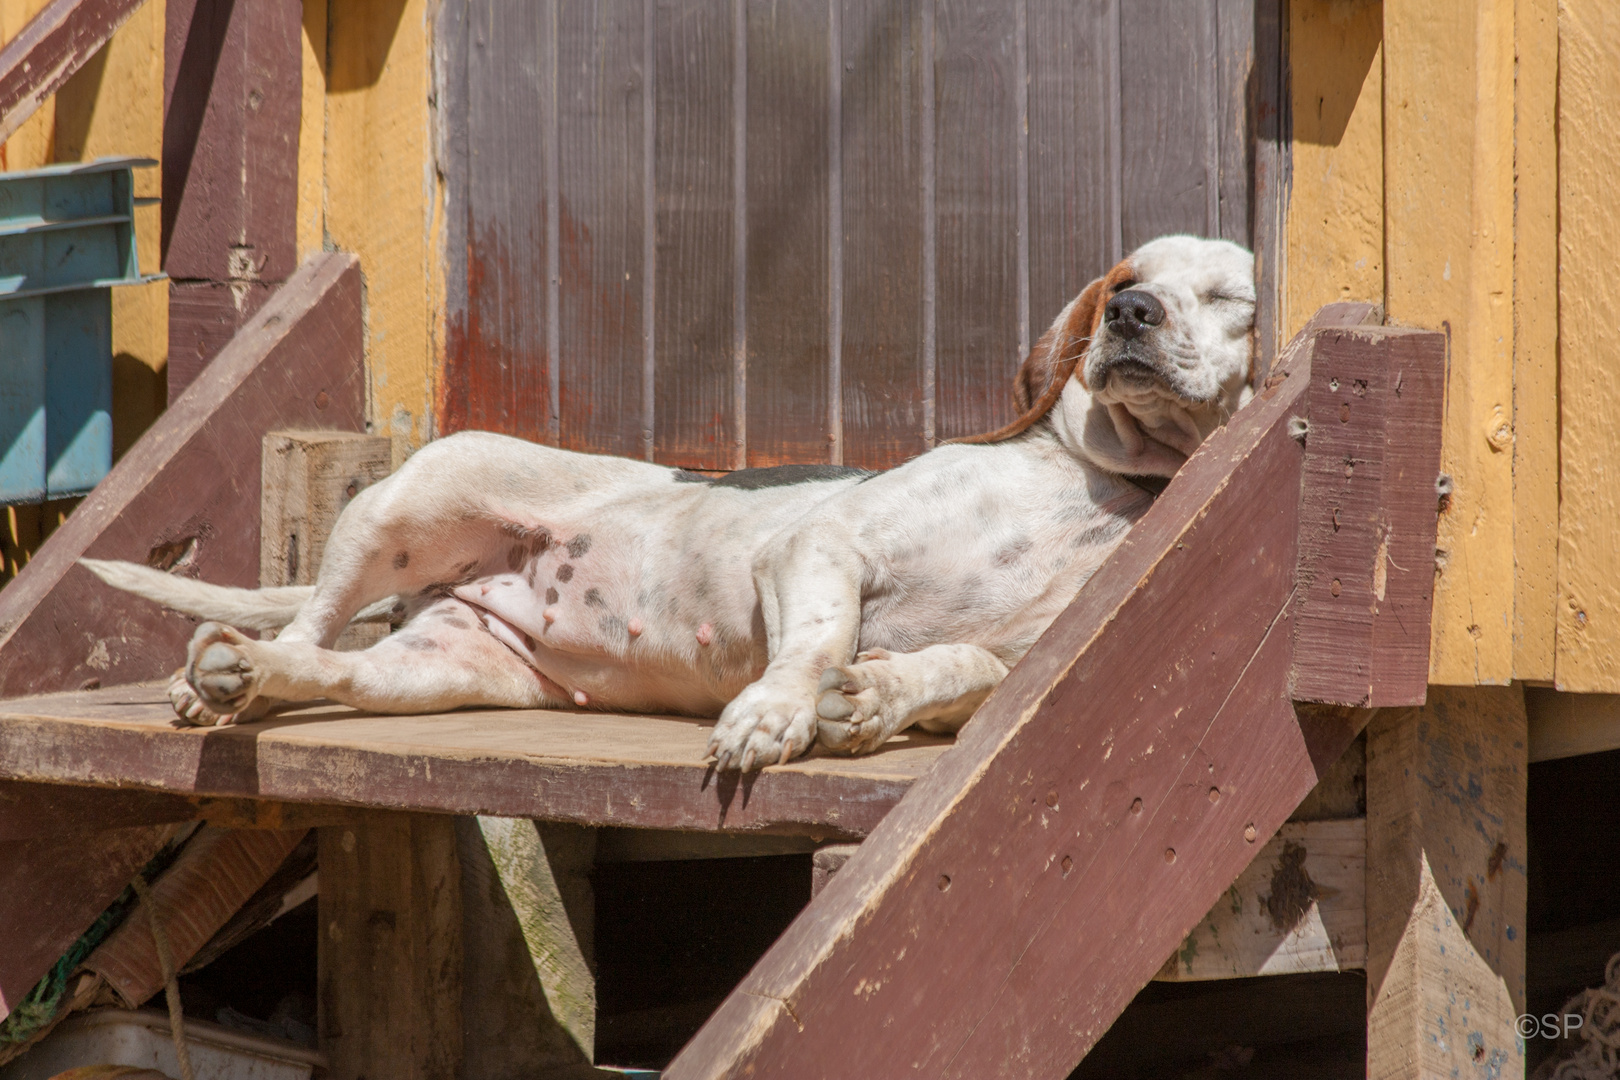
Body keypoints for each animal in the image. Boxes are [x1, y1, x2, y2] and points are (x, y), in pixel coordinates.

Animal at [85, 238, 1250, 777]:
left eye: (1231, 297)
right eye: (1129, 277)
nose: (1130, 312)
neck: (1108, 490)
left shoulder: (1018, 672)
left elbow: (955, 665)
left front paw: (871, 702)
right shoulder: (817, 543)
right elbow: (815, 641)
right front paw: (778, 712)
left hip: (437, 673)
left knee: (324, 668)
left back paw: (245, 675)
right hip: (412, 495)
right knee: (314, 619)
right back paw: (214, 679)